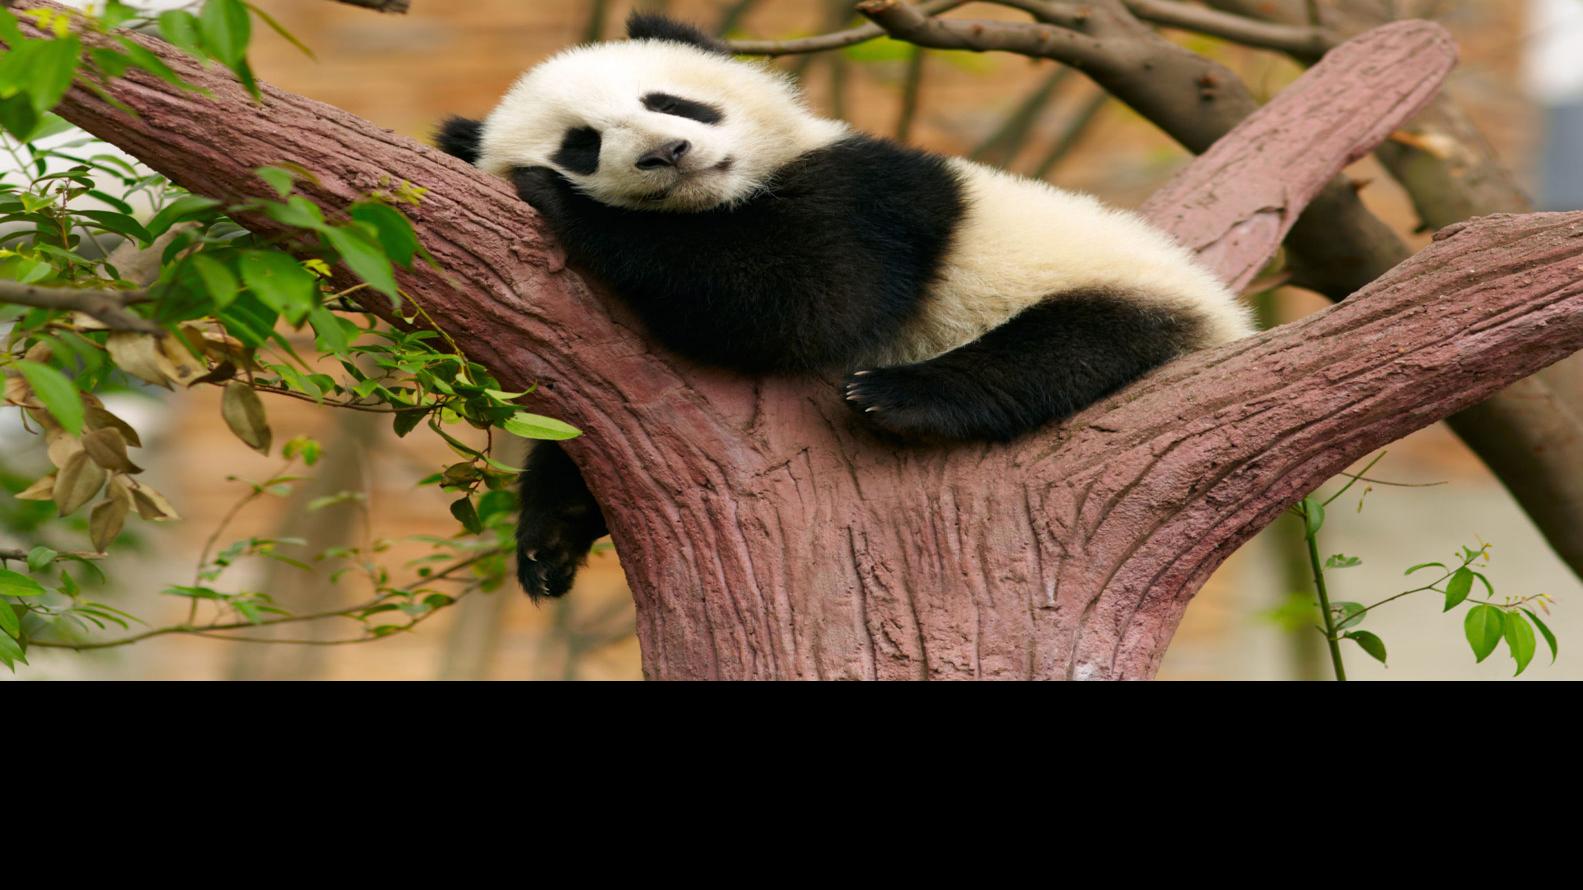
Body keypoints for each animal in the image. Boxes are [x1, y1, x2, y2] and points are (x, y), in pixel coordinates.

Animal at [436, 13, 1255, 600]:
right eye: (581, 142)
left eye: (669, 102)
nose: (666, 153)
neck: (718, 200)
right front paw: (551, 536)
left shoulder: (867, 193)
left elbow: (808, 298)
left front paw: (562, 203)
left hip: (1119, 287)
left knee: (1069, 345)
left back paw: (902, 396)